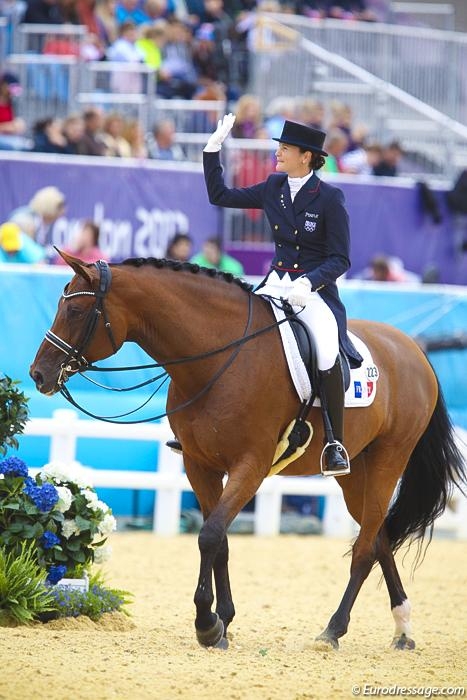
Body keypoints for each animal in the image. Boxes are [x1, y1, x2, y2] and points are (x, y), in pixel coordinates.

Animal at [30, 252, 466, 651]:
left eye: (76, 309)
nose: (38, 374)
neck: (219, 358)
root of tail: (413, 348)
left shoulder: (250, 466)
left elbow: (209, 535)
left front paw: (207, 624)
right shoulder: (200, 465)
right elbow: (219, 539)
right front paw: (223, 621)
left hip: (388, 460)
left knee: (363, 548)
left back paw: (333, 630)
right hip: (354, 471)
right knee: (379, 538)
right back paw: (403, 628)